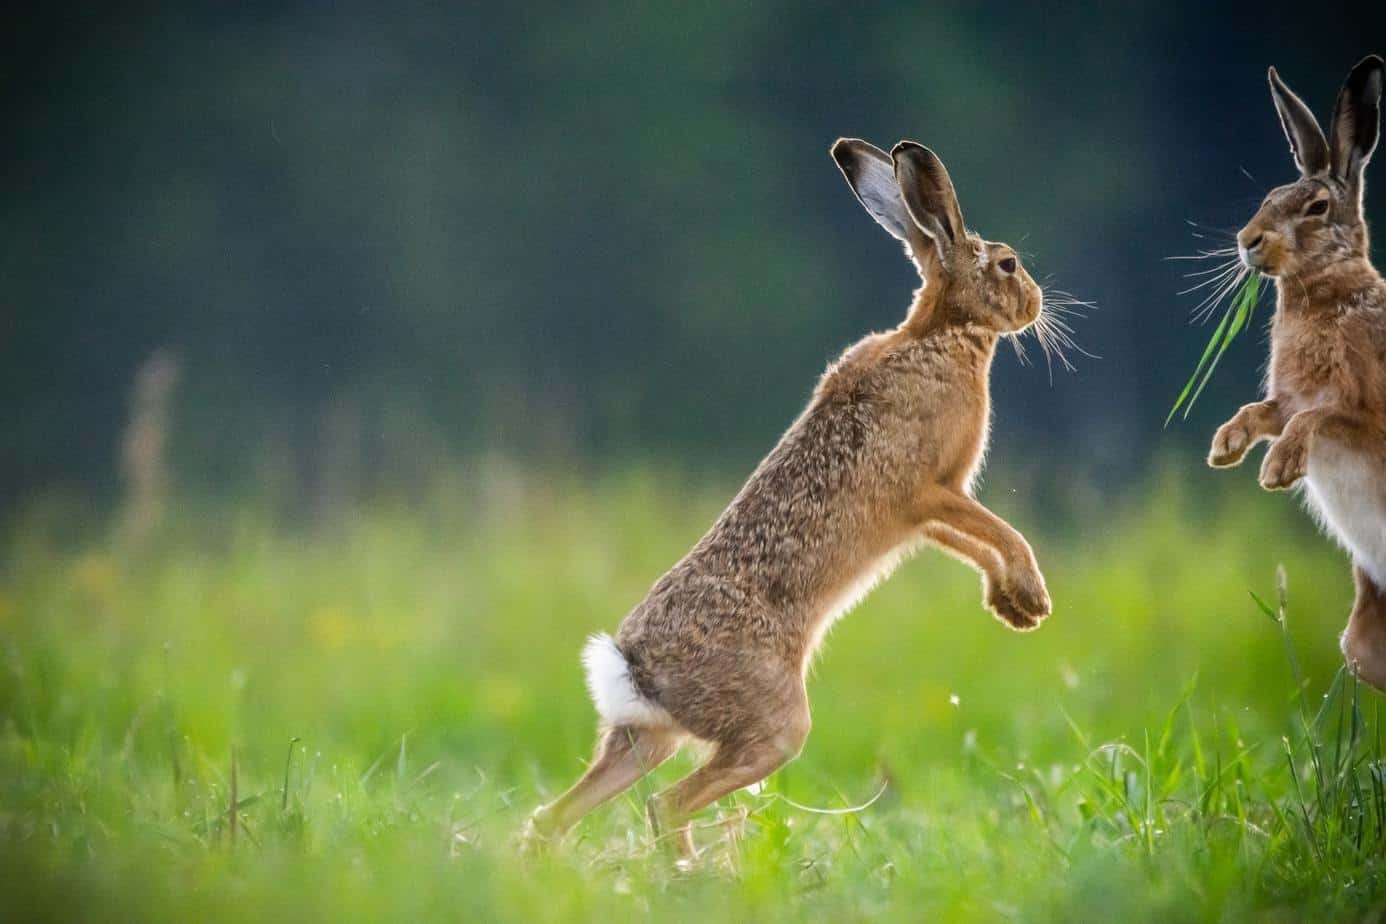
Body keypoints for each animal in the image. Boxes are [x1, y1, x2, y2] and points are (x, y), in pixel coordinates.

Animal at [523, 138, 1052, 858]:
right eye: (1007, 264)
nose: (1035, 303)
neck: (941, 334)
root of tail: (635, 669)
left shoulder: (925, 515)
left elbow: (974, 543)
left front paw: (1008, 606)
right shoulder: (930, 490)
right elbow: (999, 531)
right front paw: (1032, 600)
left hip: (646, 738)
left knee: (559, 815)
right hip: (774, 726)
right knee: (666, 803)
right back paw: (693, 873)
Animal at [1207, 55, 1386, 687]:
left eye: (1316, 209)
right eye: (1271, 195)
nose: (1247, 241)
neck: (1326, 290)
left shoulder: (1362, 411)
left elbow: (1318, 418)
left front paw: (1279, 468)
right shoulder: (1285, 398)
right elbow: (1264, 412)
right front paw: (1226, 447)